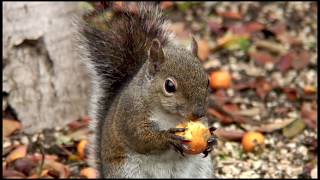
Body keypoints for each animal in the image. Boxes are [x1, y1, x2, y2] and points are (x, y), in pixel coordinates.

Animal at [77, 1, 218, 179]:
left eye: (207, 80)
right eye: (169, 86)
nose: (199, 113)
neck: (171, 116)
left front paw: (212, 140)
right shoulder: (130, 114)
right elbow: (140, 138)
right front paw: (167, 138)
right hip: (126, 172)